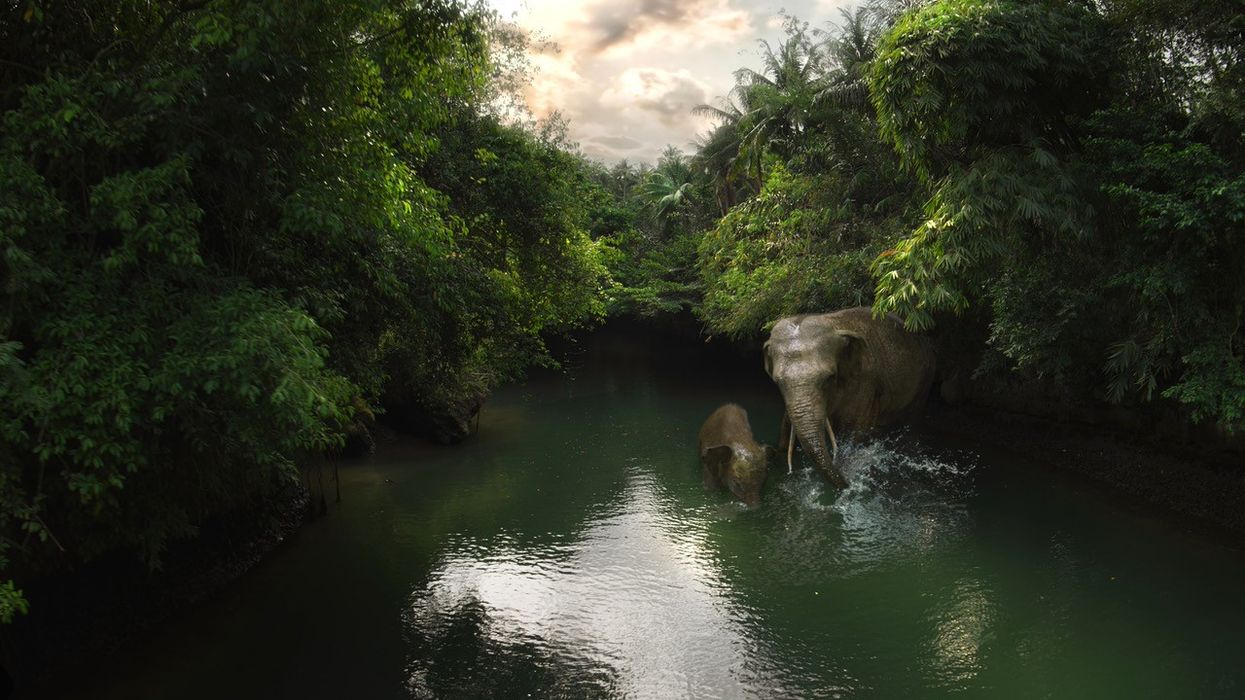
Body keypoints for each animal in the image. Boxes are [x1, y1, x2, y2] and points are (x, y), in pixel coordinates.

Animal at [763, 306, 935, 488]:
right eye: (777, 381)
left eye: (829, 377)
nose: (847, 482)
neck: (833, 323)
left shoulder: (865, 383)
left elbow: (852, 434)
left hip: (926, 378)